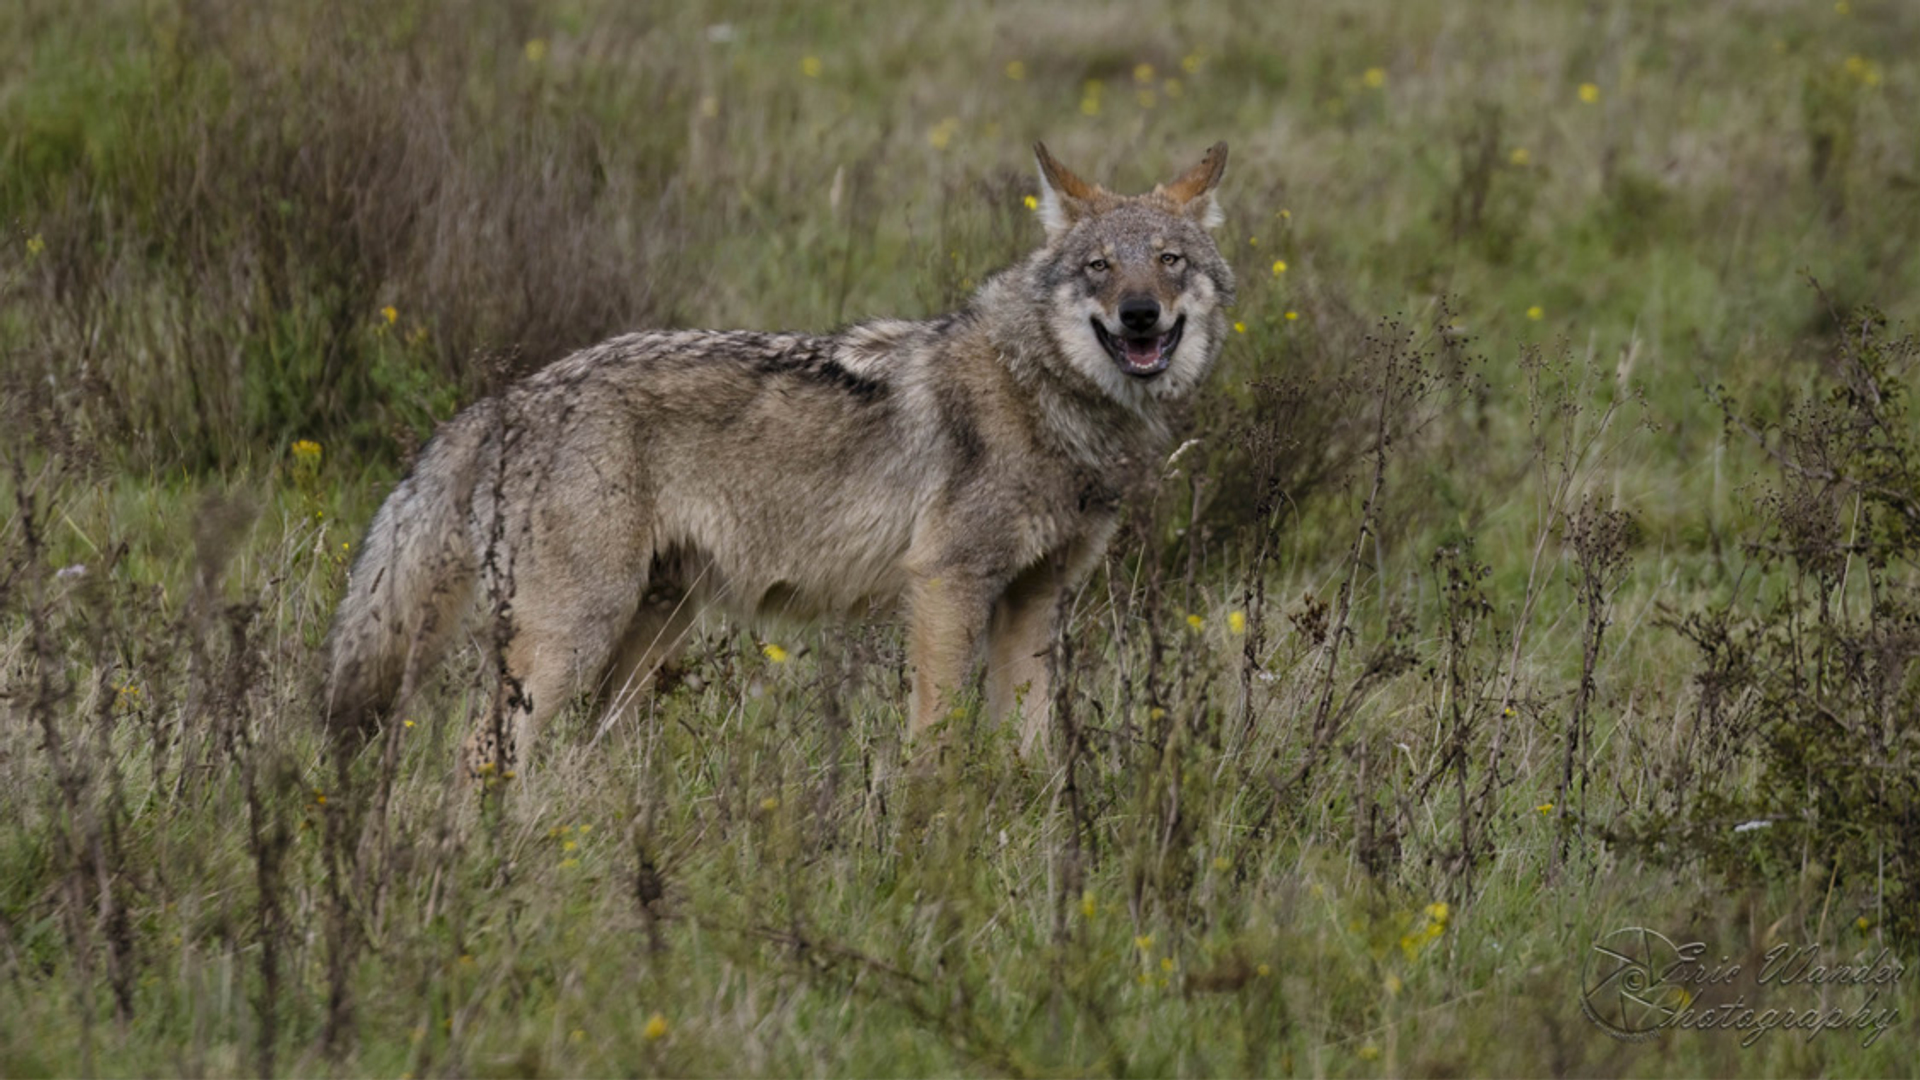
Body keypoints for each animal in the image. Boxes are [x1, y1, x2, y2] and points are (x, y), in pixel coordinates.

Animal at [323, 141, 1235, 777]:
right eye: (1099, 267)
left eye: (1170, 260)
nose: (1141, 315)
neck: (1044, 396)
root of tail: (500, 403)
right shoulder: (946, 585)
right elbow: (935, 744)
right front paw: (933, 851)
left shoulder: (1037, 600)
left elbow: (1030, 747)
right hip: (574, 636)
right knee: (478, 752)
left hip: (644, 635)